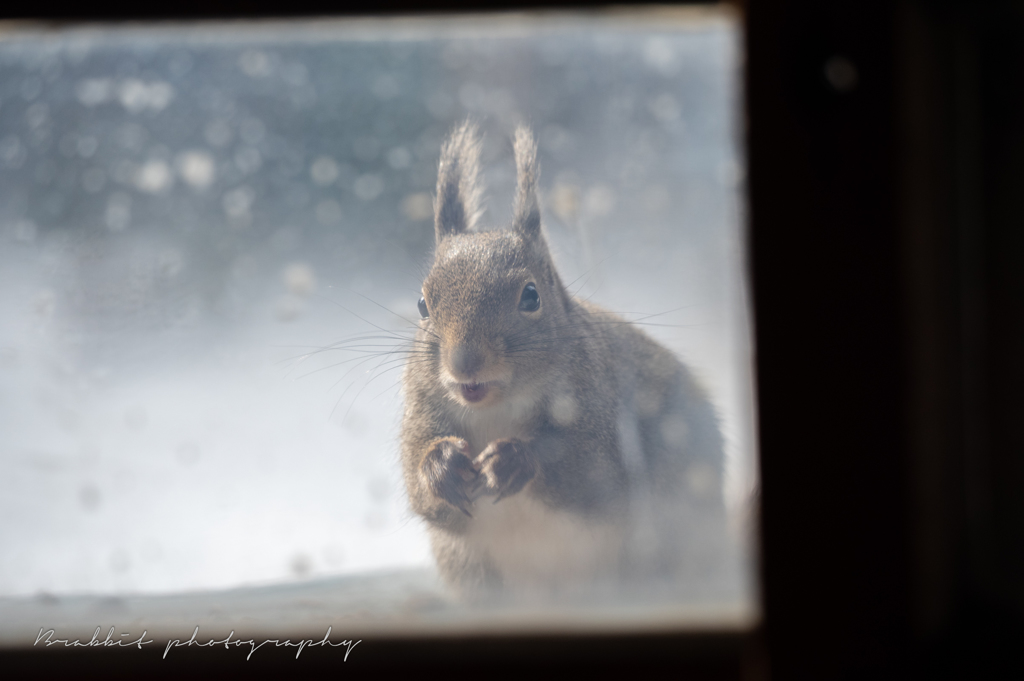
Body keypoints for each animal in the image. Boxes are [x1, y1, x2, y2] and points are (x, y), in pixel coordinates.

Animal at [397, 120, 729, 593]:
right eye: (423, 304)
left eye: (531, 296)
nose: (464, 363)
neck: (495, 411)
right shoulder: (423, 410)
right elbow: (422, 489)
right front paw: (442, 465)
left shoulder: (601, 413)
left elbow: (591, 476)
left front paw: (514, 460)